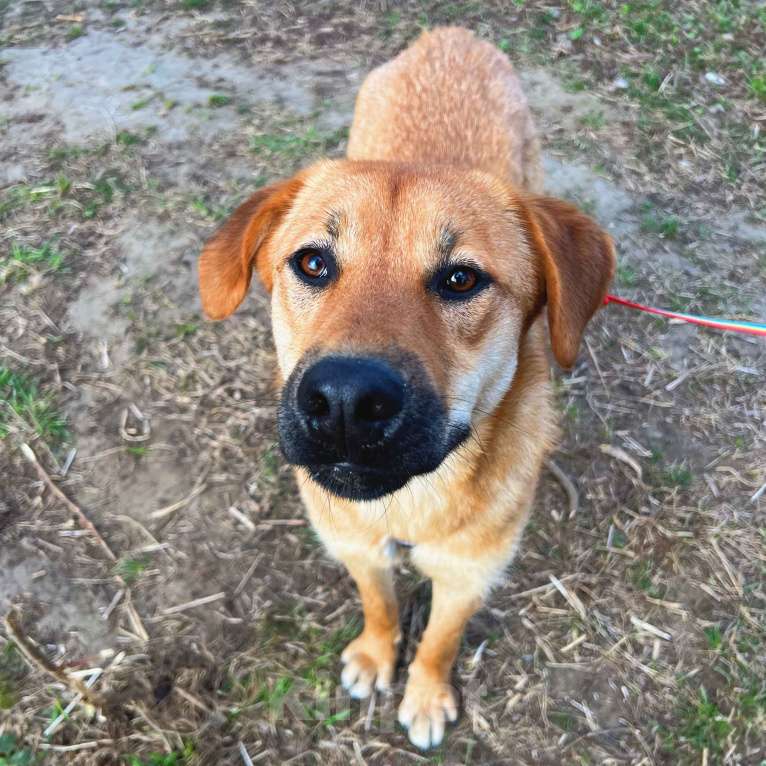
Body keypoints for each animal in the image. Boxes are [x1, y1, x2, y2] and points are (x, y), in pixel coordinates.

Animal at [200, 28, 616, 752]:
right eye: (313, 262)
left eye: (461, 279)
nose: (343, 401)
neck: (407, 506)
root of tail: (450, 35)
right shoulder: (355, 546)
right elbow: (379, 603)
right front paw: (375, 654)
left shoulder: (468, 573)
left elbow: (441, 640)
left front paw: (424, 693)